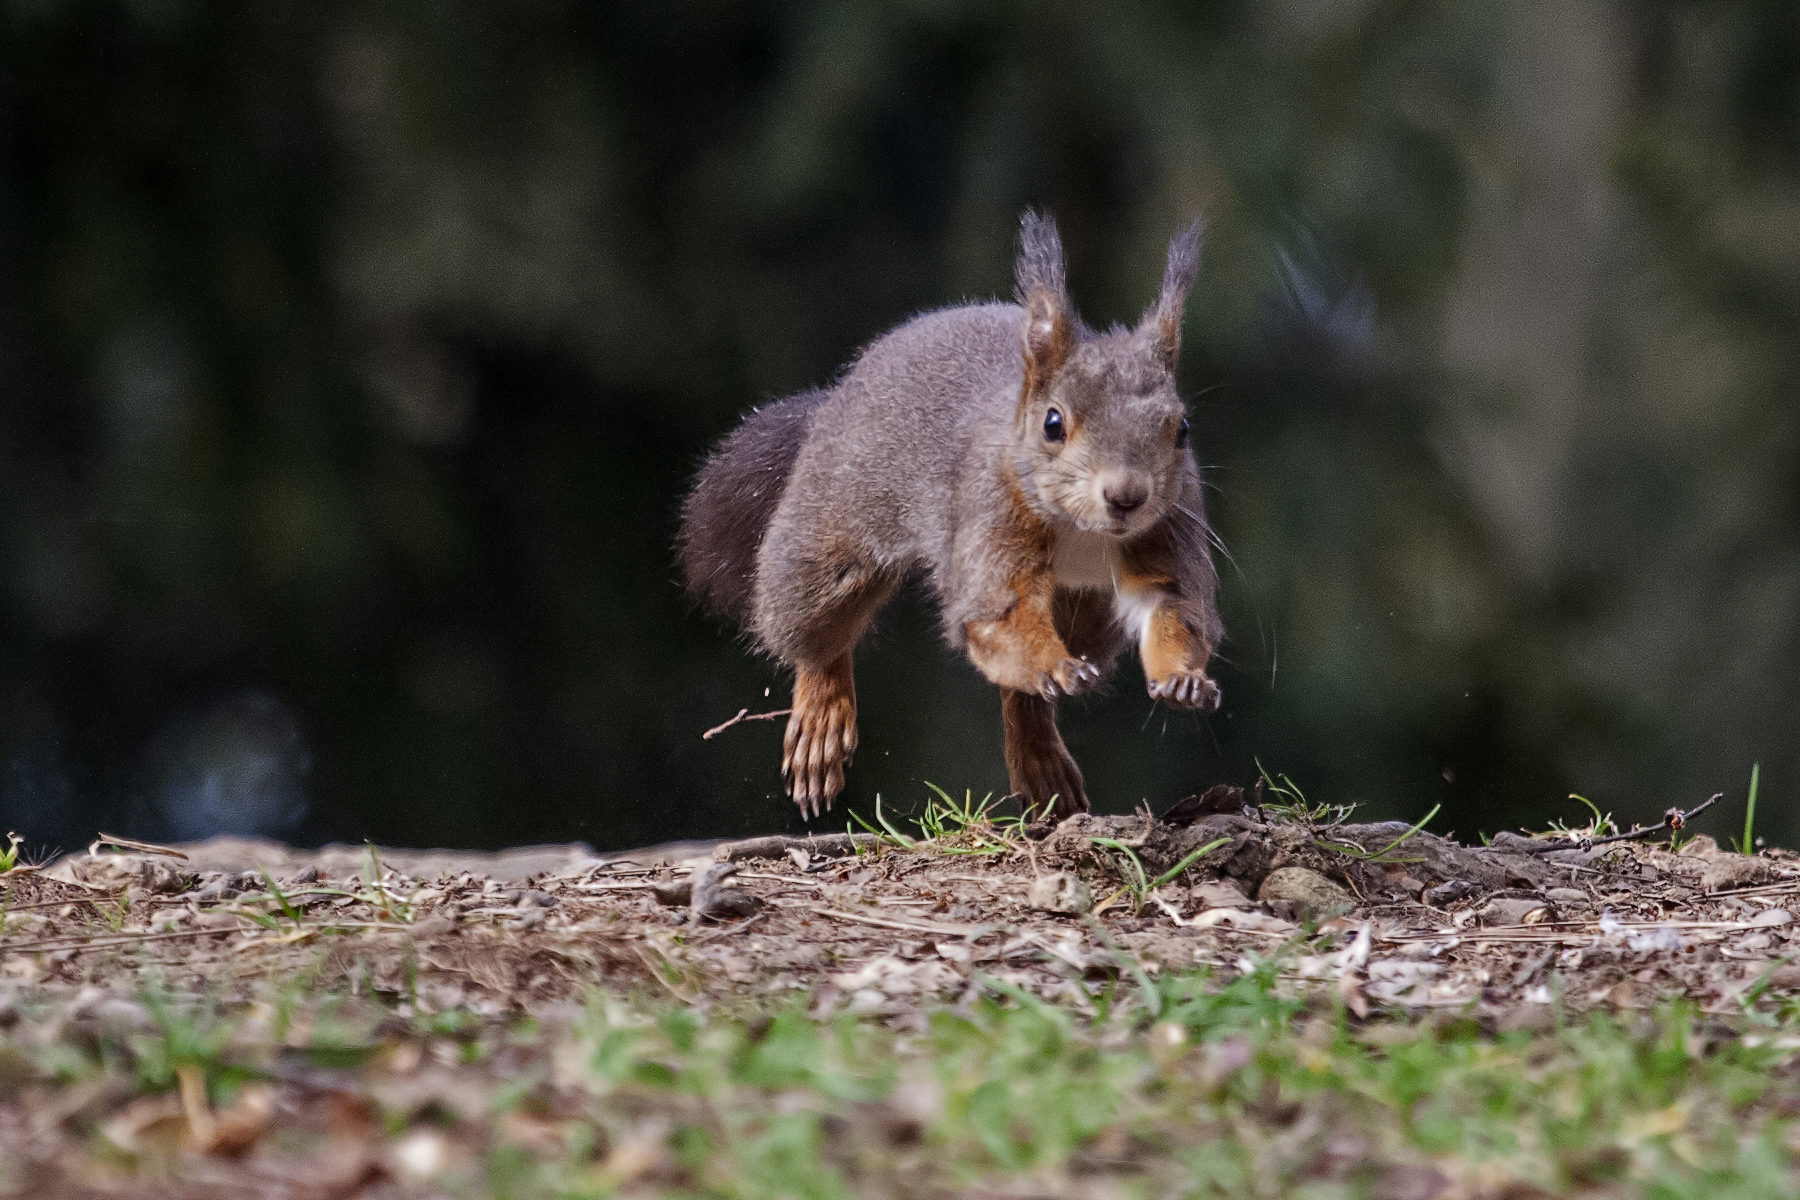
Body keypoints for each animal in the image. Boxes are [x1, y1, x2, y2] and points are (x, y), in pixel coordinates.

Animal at [680, 212, 1223, 820]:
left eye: (1181, 429)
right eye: (1053, 423)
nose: (1126, 497)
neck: (1082, 531)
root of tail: (836, 396)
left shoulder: (1168, 533)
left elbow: (1172, 607)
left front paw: (1183, 678)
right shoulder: (992, 518)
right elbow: (1002, 612)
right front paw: (1054, 665)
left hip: (1085, 610)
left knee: (1021, 687)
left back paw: (1039, 751)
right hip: (833, 525)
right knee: (815, 629)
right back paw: (823, 711)